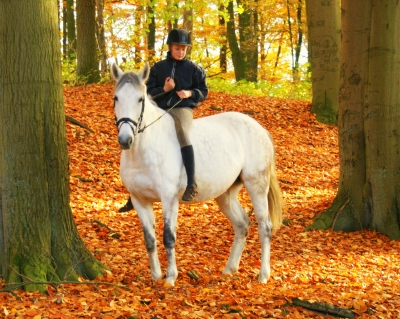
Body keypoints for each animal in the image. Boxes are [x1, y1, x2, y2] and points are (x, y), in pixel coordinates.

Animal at [111, 63, 282, 286]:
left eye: (140, 99)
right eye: (116, 98)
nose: (125, 140)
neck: (143, 149)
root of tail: (260, 128)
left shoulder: (169, 199)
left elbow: (168, 237)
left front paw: (170, 278)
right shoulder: (140, 200)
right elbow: (149, 240)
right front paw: (155, 276)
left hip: (257, 185)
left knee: (265, 227)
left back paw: (263, 275)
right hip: (226, 194)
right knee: (242, 224)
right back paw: (229, 270)